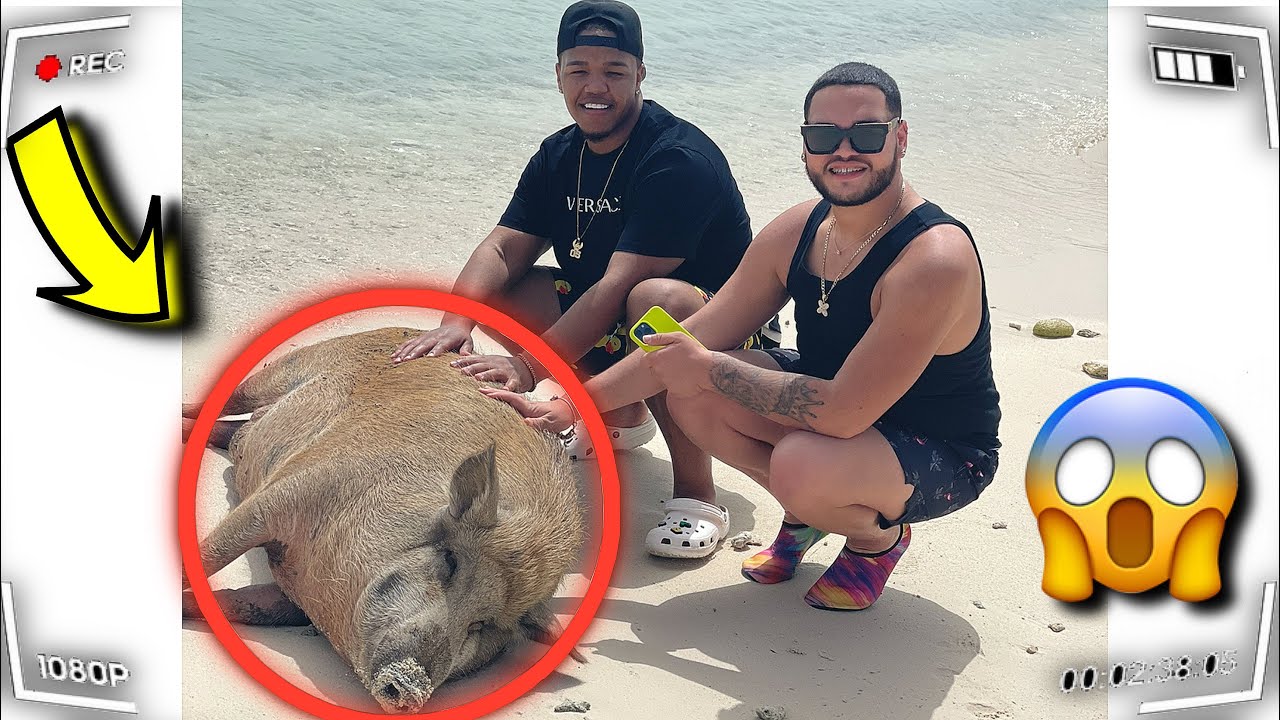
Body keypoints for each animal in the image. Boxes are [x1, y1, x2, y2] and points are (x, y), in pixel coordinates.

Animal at [181, 327, 582, 713]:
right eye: (449, 561)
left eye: (483, 624)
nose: (413, 684)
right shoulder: (298, 485)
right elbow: (213, 552)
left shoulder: (294, 597)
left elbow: (244, 604)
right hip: (289, 366)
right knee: (227, 401)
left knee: (229, 431)